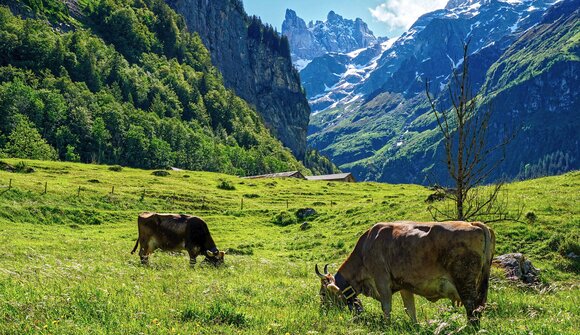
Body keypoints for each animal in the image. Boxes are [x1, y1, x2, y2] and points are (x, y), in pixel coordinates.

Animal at [314, 222, 496, 326]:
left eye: (322, 293)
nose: (321, 311)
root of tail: (475, 225)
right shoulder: (404, 285)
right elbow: (410, 309)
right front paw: (415, 326)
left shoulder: (382, 281)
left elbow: (386, 308)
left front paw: (387, 326)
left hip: (464, 282)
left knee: (472, 309)